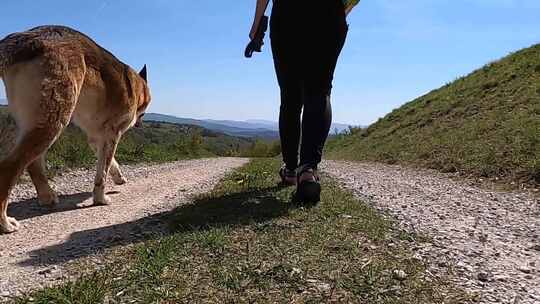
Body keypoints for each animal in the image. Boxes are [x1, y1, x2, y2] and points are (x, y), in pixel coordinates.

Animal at [0, 26, 151, 234]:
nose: (140, 124)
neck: (136, 86)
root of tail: (23, 39)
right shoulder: (113, 134)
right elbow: (102, 171)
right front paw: (100, 199)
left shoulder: (97, 138)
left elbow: (110, 163)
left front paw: (119, 178)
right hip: (54, 122)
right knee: (10, 167)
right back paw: (4, 223)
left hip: (36, 123)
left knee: (33, 163)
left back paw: (47, 197)